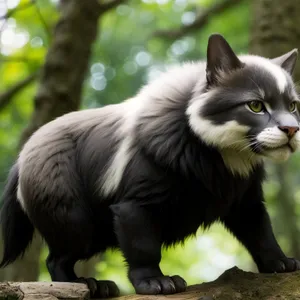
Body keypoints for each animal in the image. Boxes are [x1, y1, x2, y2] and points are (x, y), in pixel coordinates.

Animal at [0, 32, 300, 298]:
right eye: (255, 105)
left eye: (293, 105)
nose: (292, 130)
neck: (222, 155)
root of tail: (21, 158)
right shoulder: (134, 204)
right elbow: (143, 246)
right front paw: (155, 282)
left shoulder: (245, 201)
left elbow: (261, 232)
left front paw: (281, 263)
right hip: (74, 219)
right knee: (56, 260)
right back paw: (88, 285)